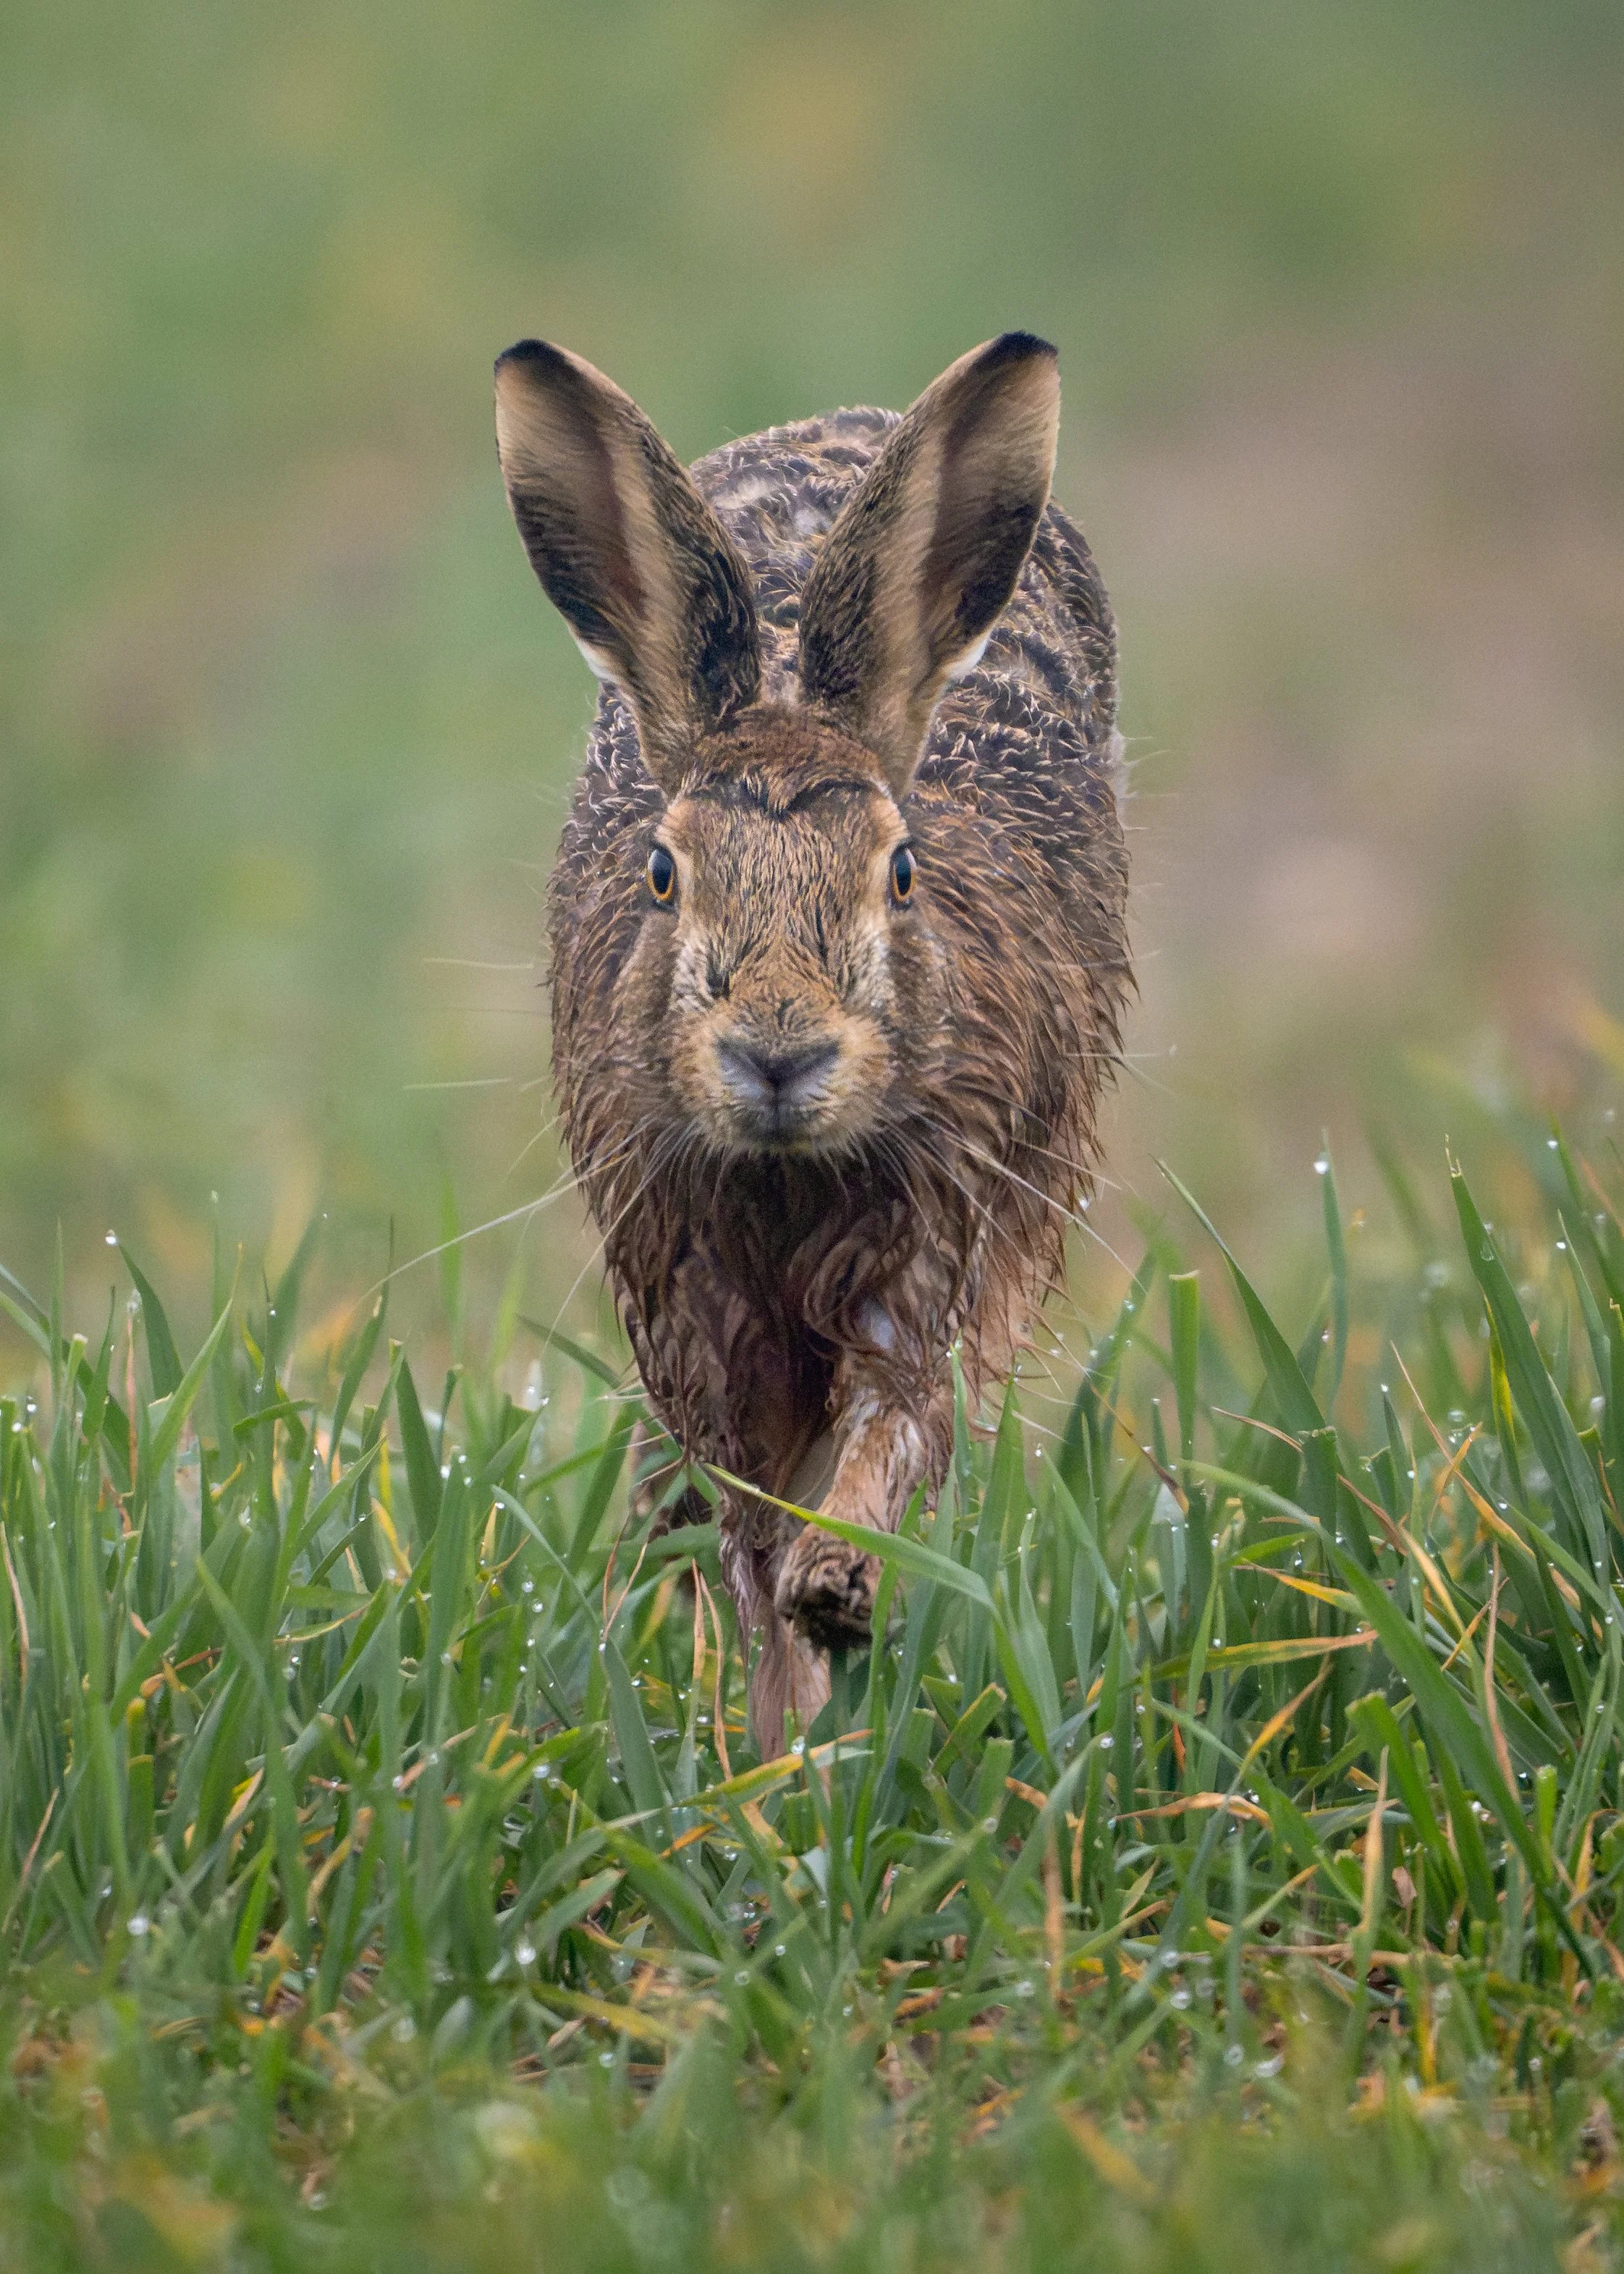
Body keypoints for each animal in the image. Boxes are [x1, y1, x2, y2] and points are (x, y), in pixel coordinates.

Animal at [494, 332, 1130, 1752]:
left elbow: (895, 1430)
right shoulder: (689, 1302)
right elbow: (746, 1525)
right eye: (662, 873)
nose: (777, 1054)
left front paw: (838, 1591)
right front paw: (781, 1753)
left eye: (900, 872)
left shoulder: (943, 1246)